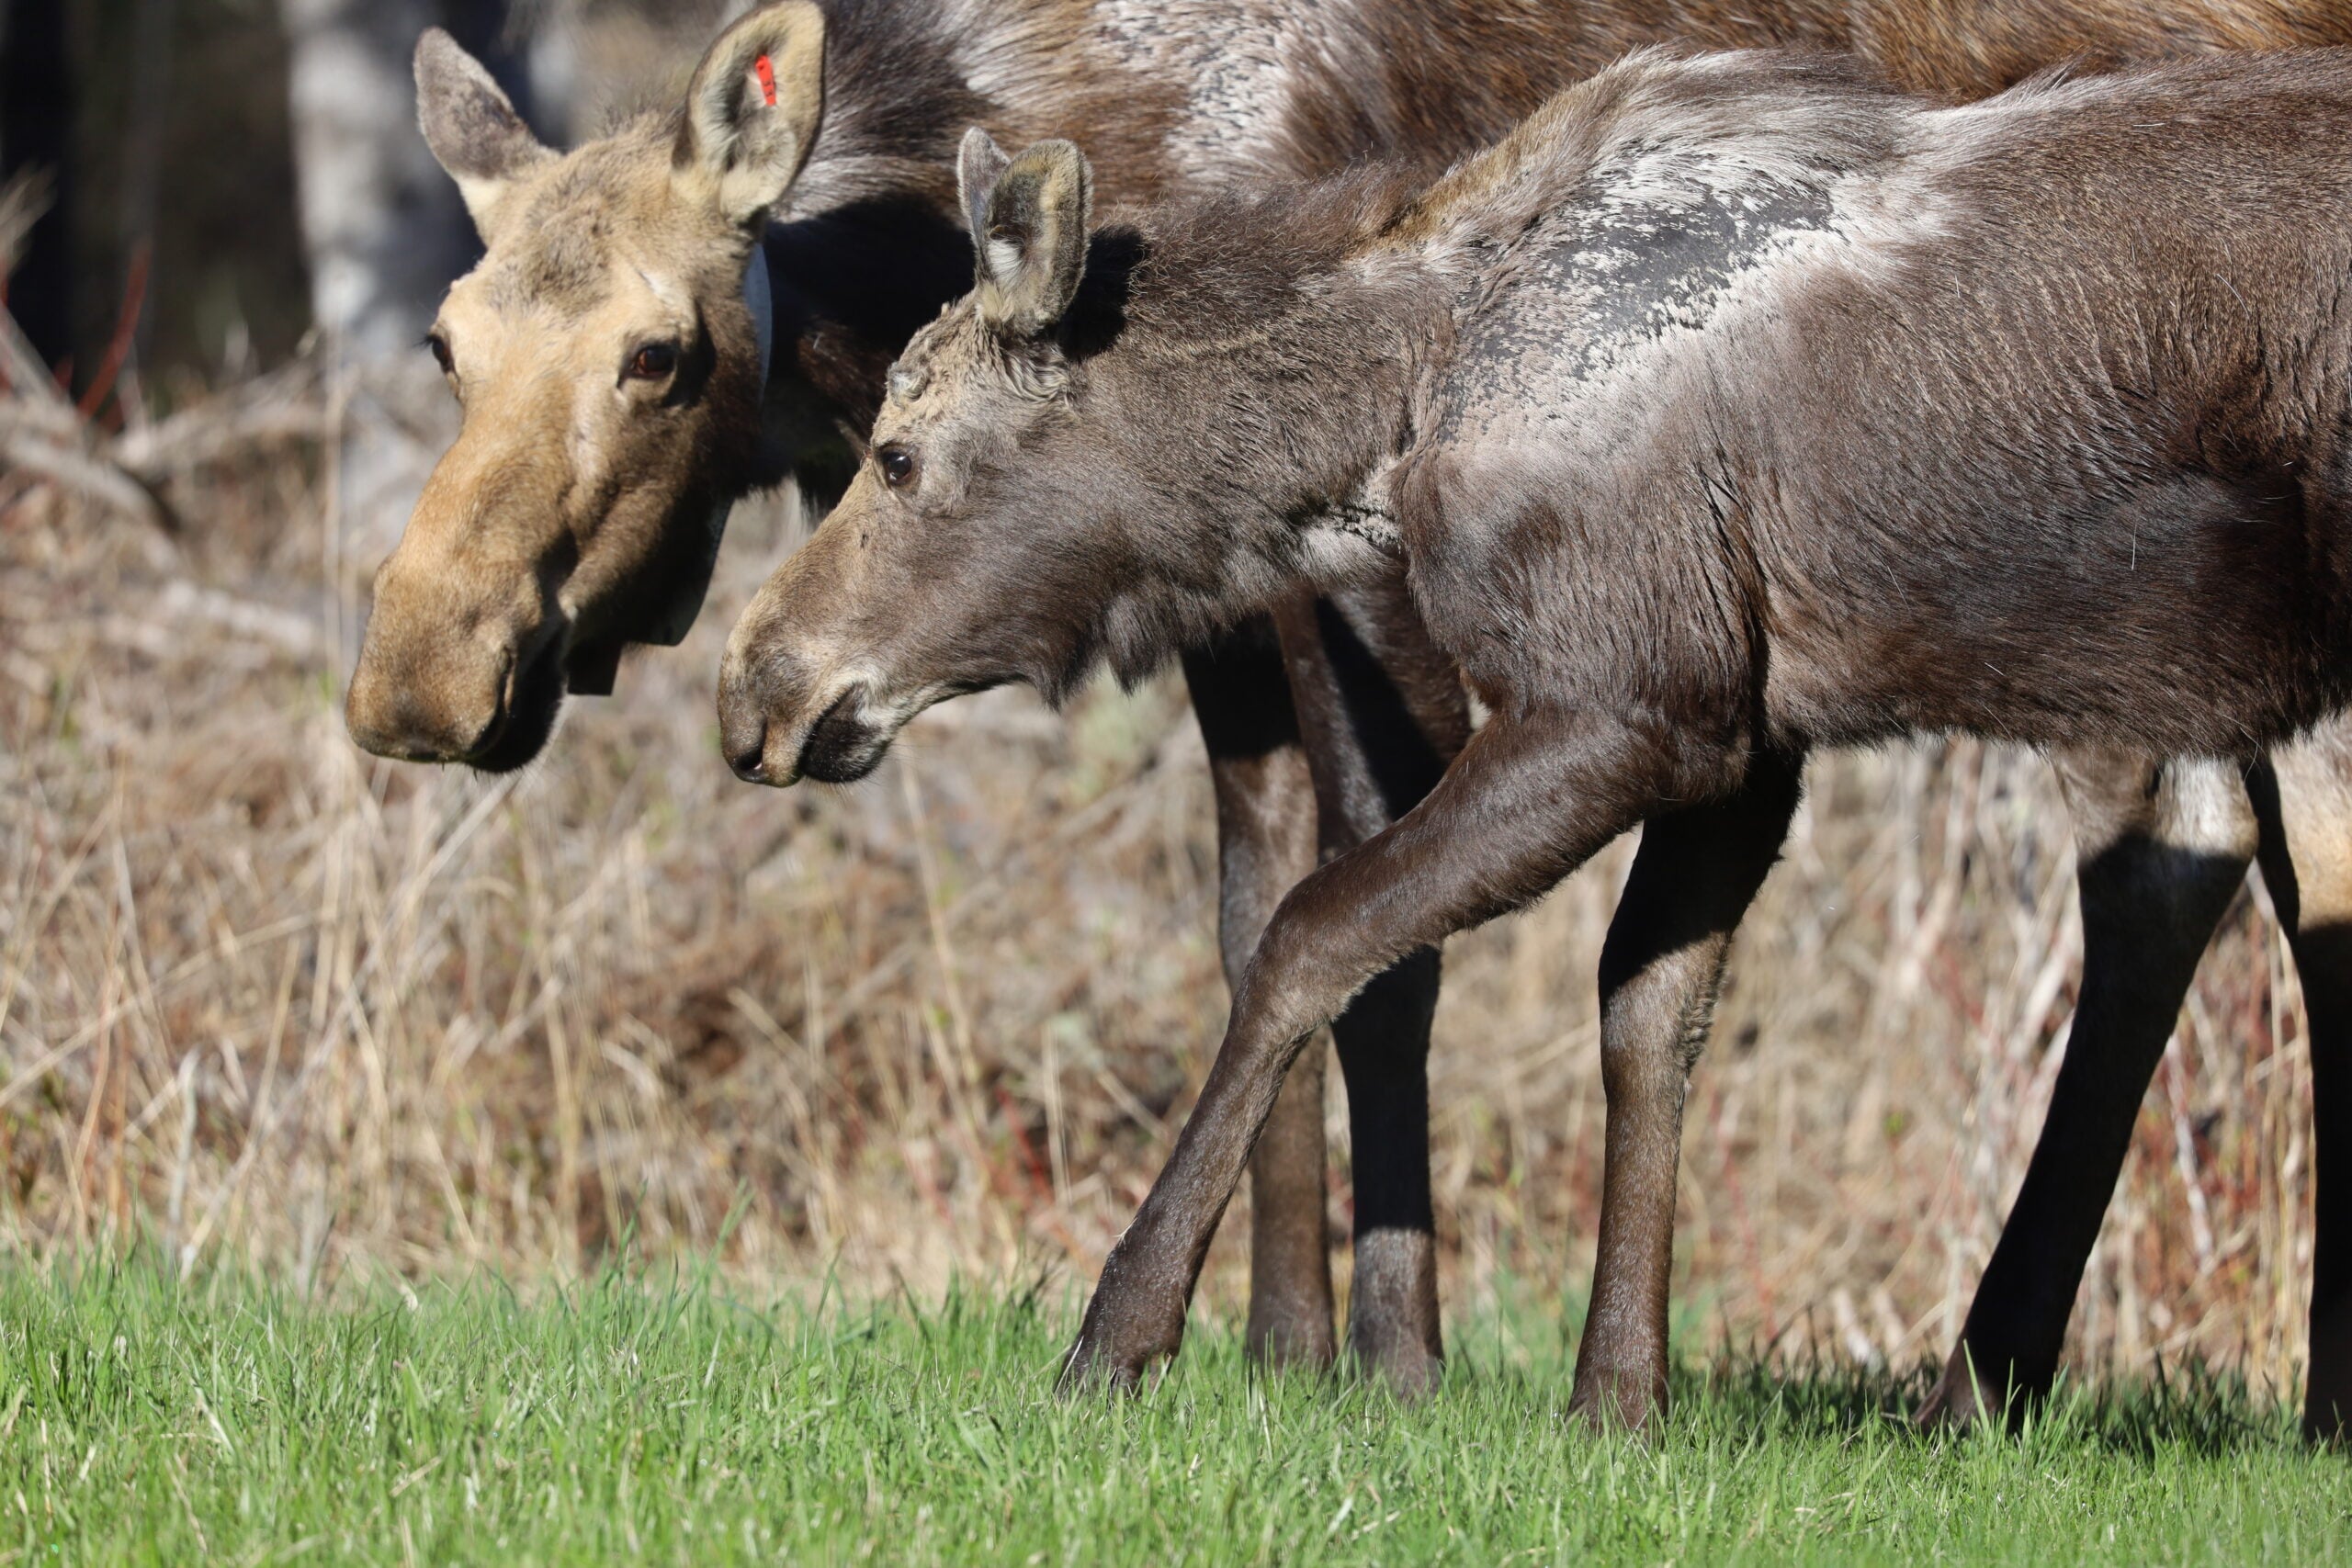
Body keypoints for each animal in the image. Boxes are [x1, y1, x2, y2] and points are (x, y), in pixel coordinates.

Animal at [351, 1, 2352, 1434]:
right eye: (446, 343)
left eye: (904, 454)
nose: (763, 689)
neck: (1391, 402)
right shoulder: (1738, 730)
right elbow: (1634, 1008)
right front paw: (1605, 1400)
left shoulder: (1614, 698)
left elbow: (1330, 934)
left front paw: (1162, 1338)